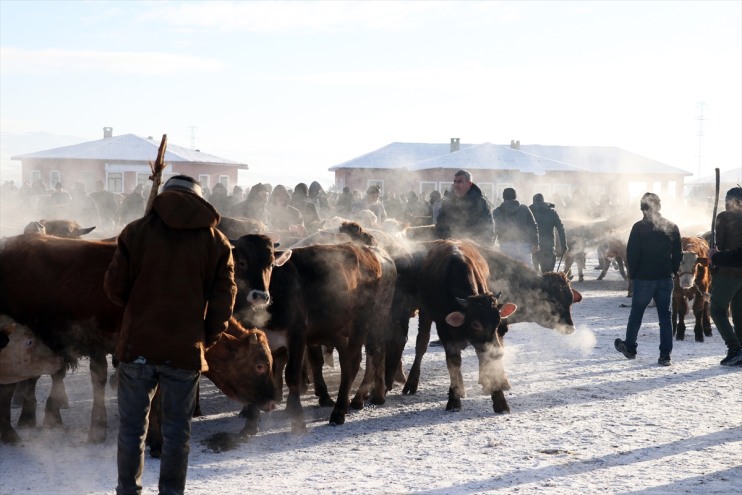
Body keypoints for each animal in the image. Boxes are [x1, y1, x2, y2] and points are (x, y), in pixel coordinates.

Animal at [232, 234, 398, 432]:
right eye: (242, 262)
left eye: (271, 264)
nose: (260, 295)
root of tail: (370, 252)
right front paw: (250, 423)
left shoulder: (297, 336)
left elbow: (292, 376)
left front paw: (295, 415)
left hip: (366, 322)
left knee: (359, 360)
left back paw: (343, 409)